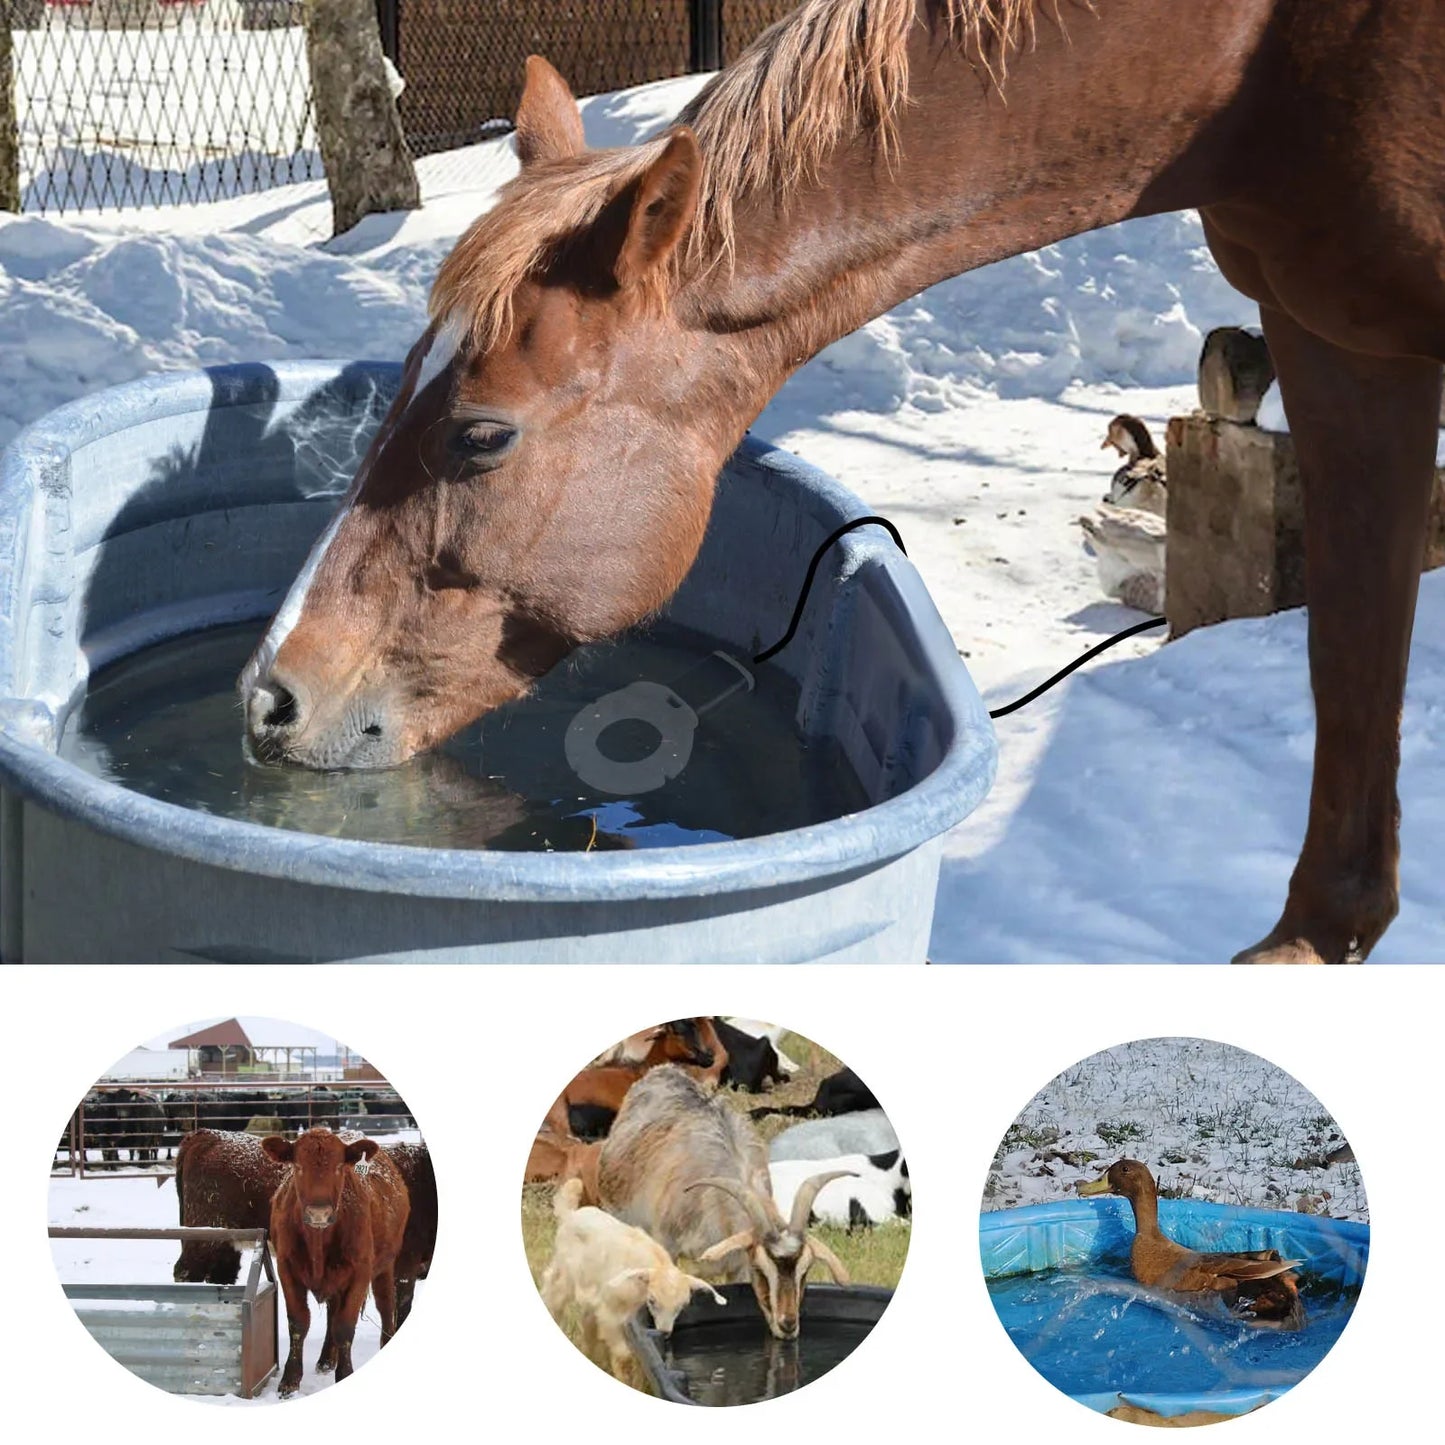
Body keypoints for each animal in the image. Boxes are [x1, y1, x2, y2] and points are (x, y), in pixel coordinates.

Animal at [238, 1, 1445, 964]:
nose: (269, 697)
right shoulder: (1337, 338)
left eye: (482, 436)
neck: (1261, 62)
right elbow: (1350, 645)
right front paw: (1317, 937)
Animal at [262, 1129, 409, 1396]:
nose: (318, 1212)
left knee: (385, 1305)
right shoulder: (287, 1269)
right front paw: (290, 1379)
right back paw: (326, 1359)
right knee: (332, 1311)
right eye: (298, 1166)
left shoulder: (360, 1272)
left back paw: (384, 1344)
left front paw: (345, 1374)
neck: (318, 1241)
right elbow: (298, 1322)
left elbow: (345, 1326)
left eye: (339, 1167)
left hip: (385, 1265)